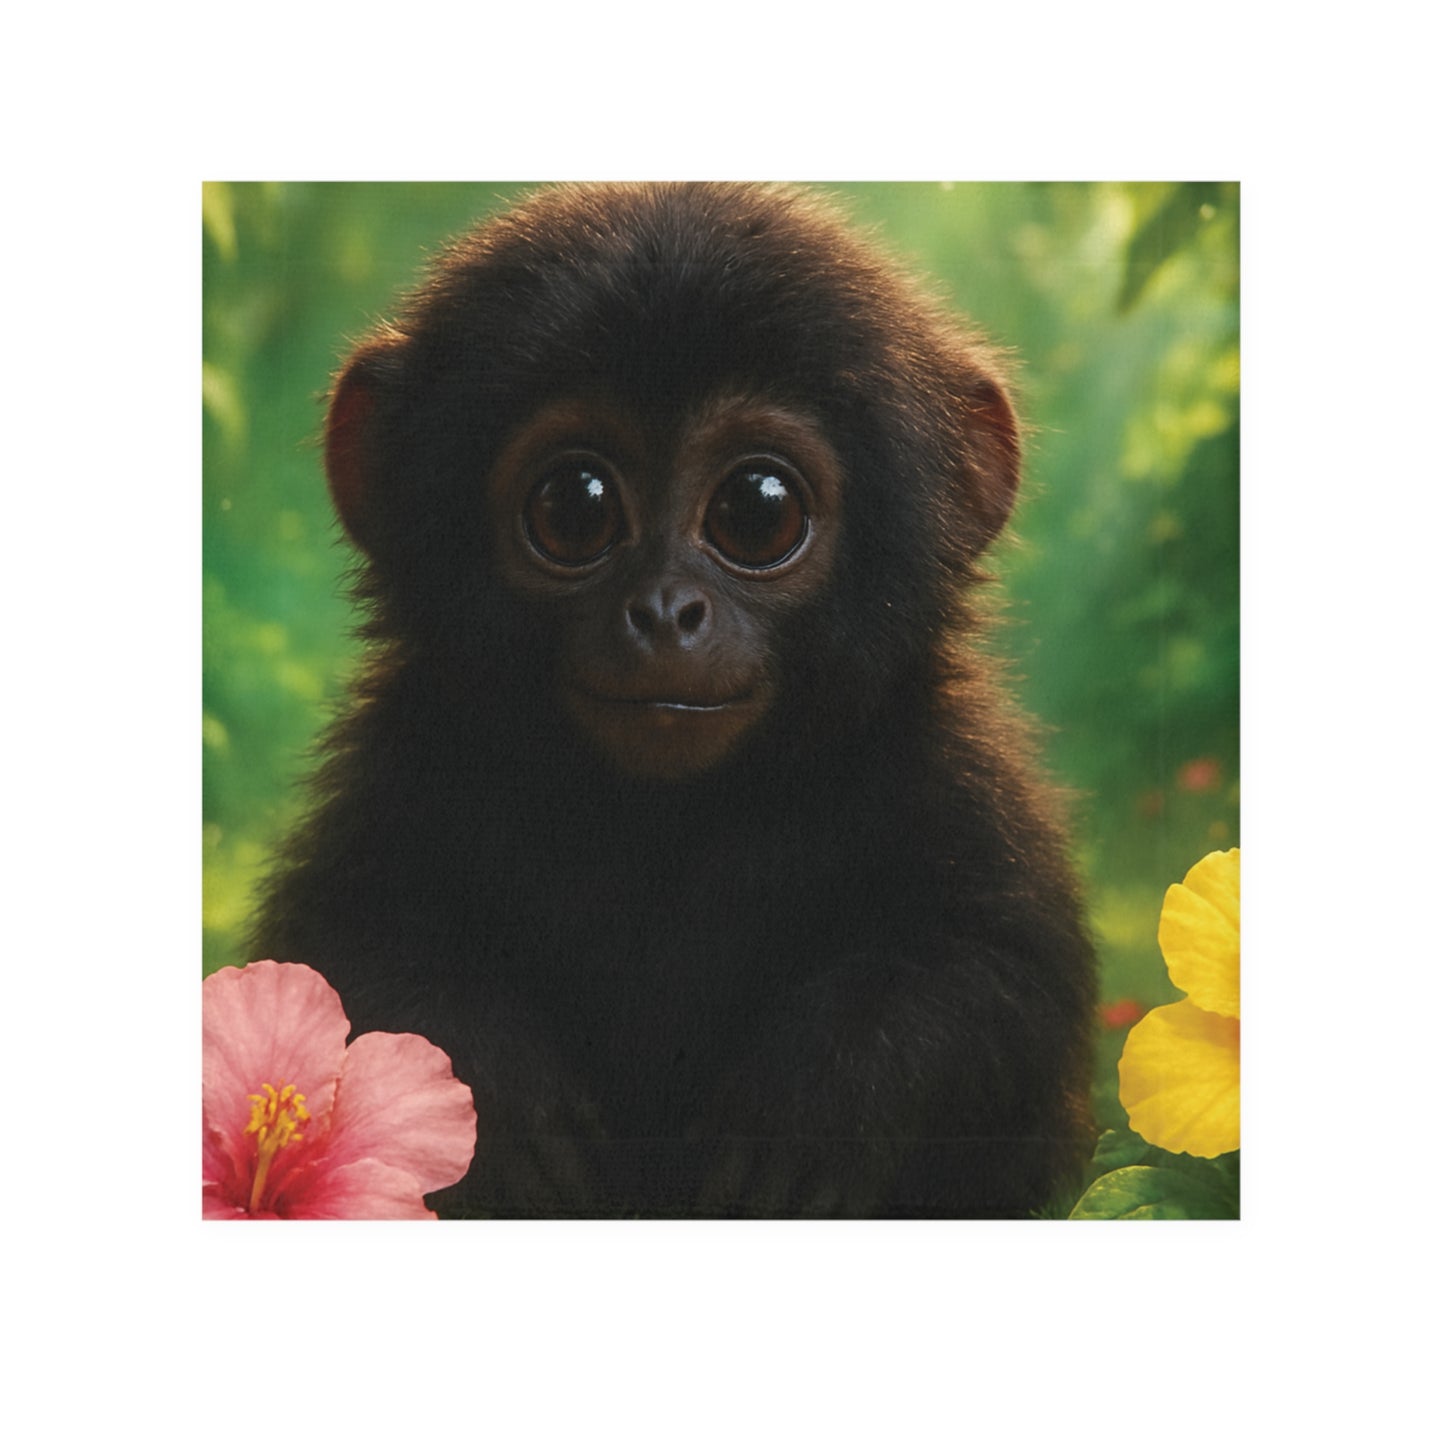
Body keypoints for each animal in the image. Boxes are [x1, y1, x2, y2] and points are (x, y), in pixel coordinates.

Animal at [251, 182, 1097, 1218]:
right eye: (574, 505)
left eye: (758, 508)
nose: (664, 610)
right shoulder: (401, 764)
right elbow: (346, 951)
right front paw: (500, 1097)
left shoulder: (953, 772)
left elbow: (998, 977)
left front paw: (821, 1097)